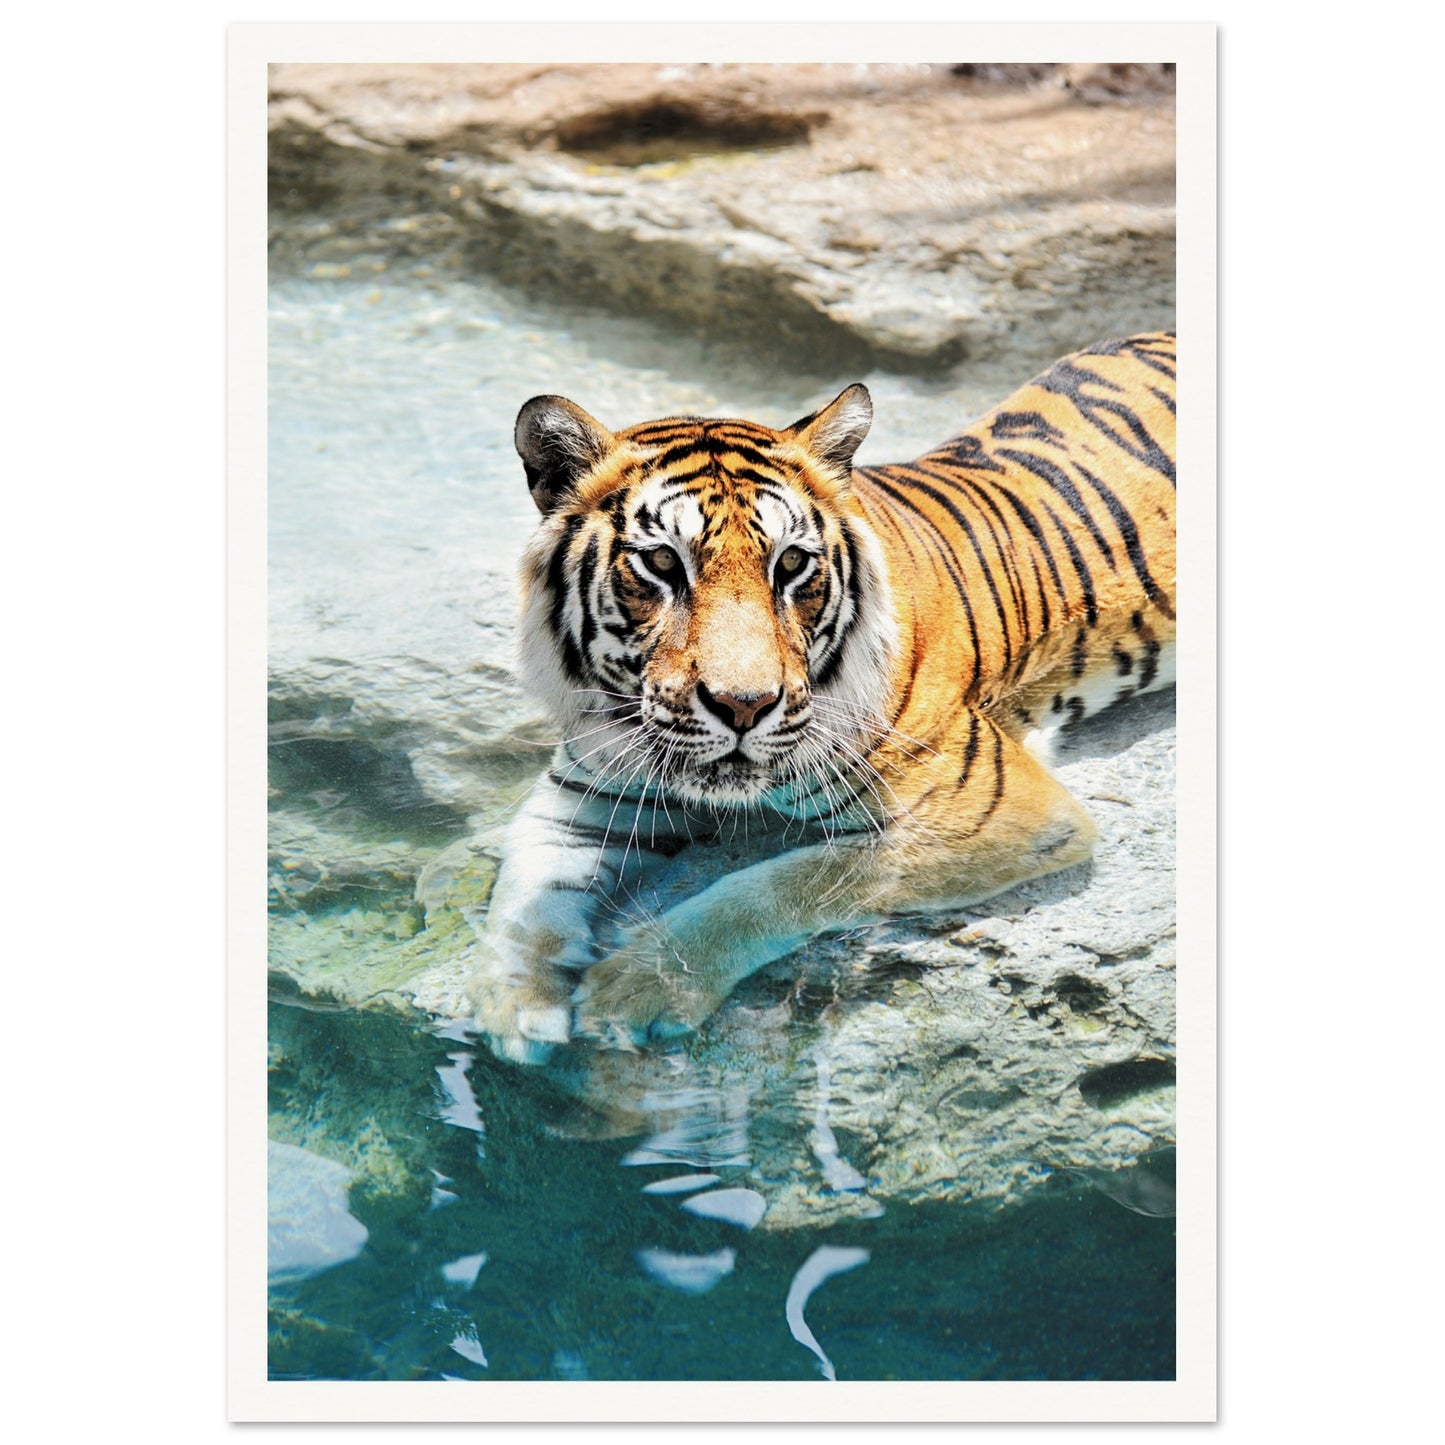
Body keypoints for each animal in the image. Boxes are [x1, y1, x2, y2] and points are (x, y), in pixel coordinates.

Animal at [465, 332, 1177, 1064]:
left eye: (790, 564)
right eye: (662, 563)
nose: (744, 705)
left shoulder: (995, 812)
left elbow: (778, 884)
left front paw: (640, 984)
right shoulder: (585, 793)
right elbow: (523, 892)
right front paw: (511, 1005)